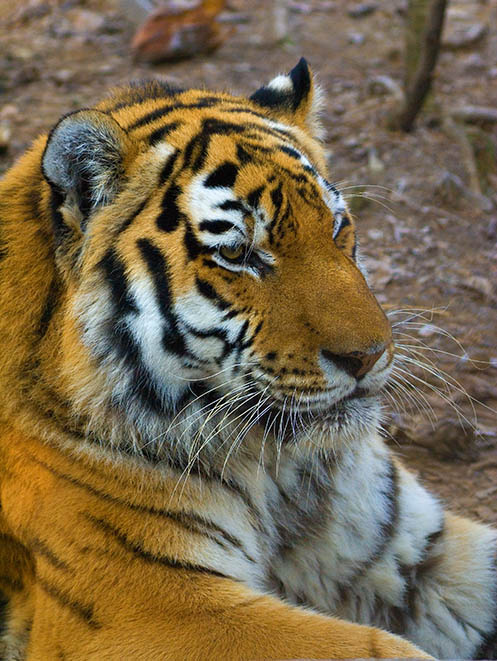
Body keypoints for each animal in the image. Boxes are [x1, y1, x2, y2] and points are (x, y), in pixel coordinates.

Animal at [0, 57, 495, 660]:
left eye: (336, 227)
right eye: (238, 254)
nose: (369, 355)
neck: (281, 472)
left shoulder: (407, 548)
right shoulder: (149, 605)